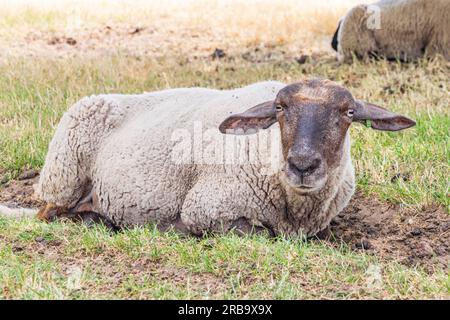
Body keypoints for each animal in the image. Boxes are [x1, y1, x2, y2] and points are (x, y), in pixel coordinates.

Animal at [16, 79, 414, 238]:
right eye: (279, 109)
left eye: (349, 113)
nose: (303, 165)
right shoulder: (206, 209)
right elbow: (261, 233)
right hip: (62, 179)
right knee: (48, 214)